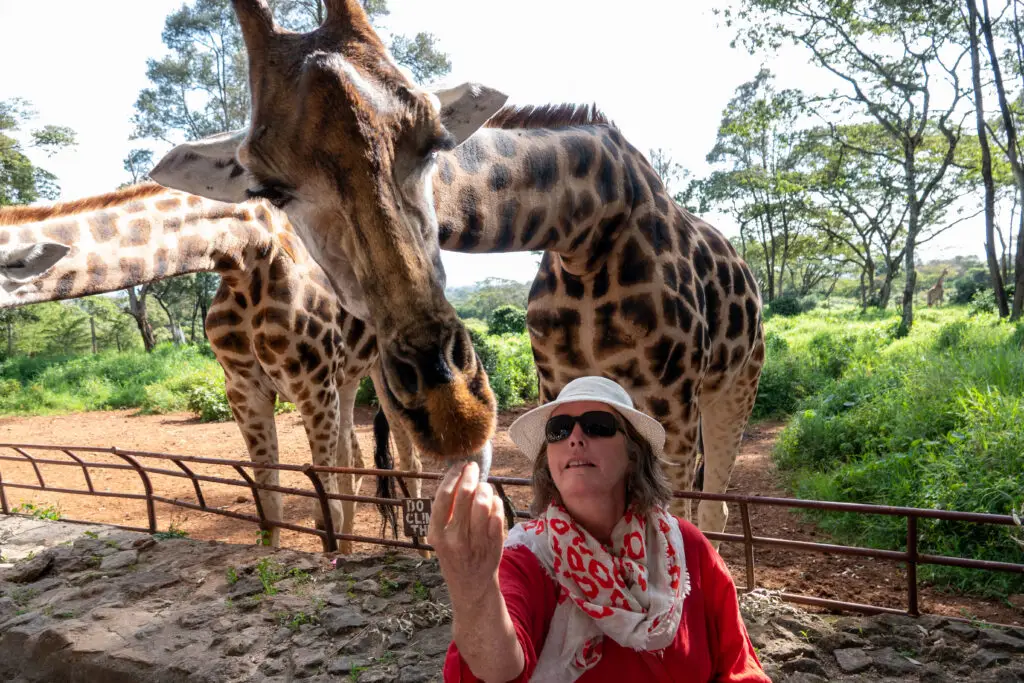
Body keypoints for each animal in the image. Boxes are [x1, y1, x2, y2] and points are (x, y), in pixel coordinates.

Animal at [0, 183, 420, 552]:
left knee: (408, 461)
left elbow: (324, 513)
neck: (243, 255)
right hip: (347, 379)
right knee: (356, 460)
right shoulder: (244, 390)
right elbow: (270, 506)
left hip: (383, 374)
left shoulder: (312, 385)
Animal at [150, 104, 766, 540]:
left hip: (734, 385)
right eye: (271, 189)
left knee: (714, 506)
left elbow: (671, 507)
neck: (586, 230)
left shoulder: (672, 396)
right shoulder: (556, 380)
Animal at [174, 0, 509, 475]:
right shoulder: (247, 392)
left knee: (399, 460)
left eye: (436, 143)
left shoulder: (320, 387)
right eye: (271, 190)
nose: (457, 415)